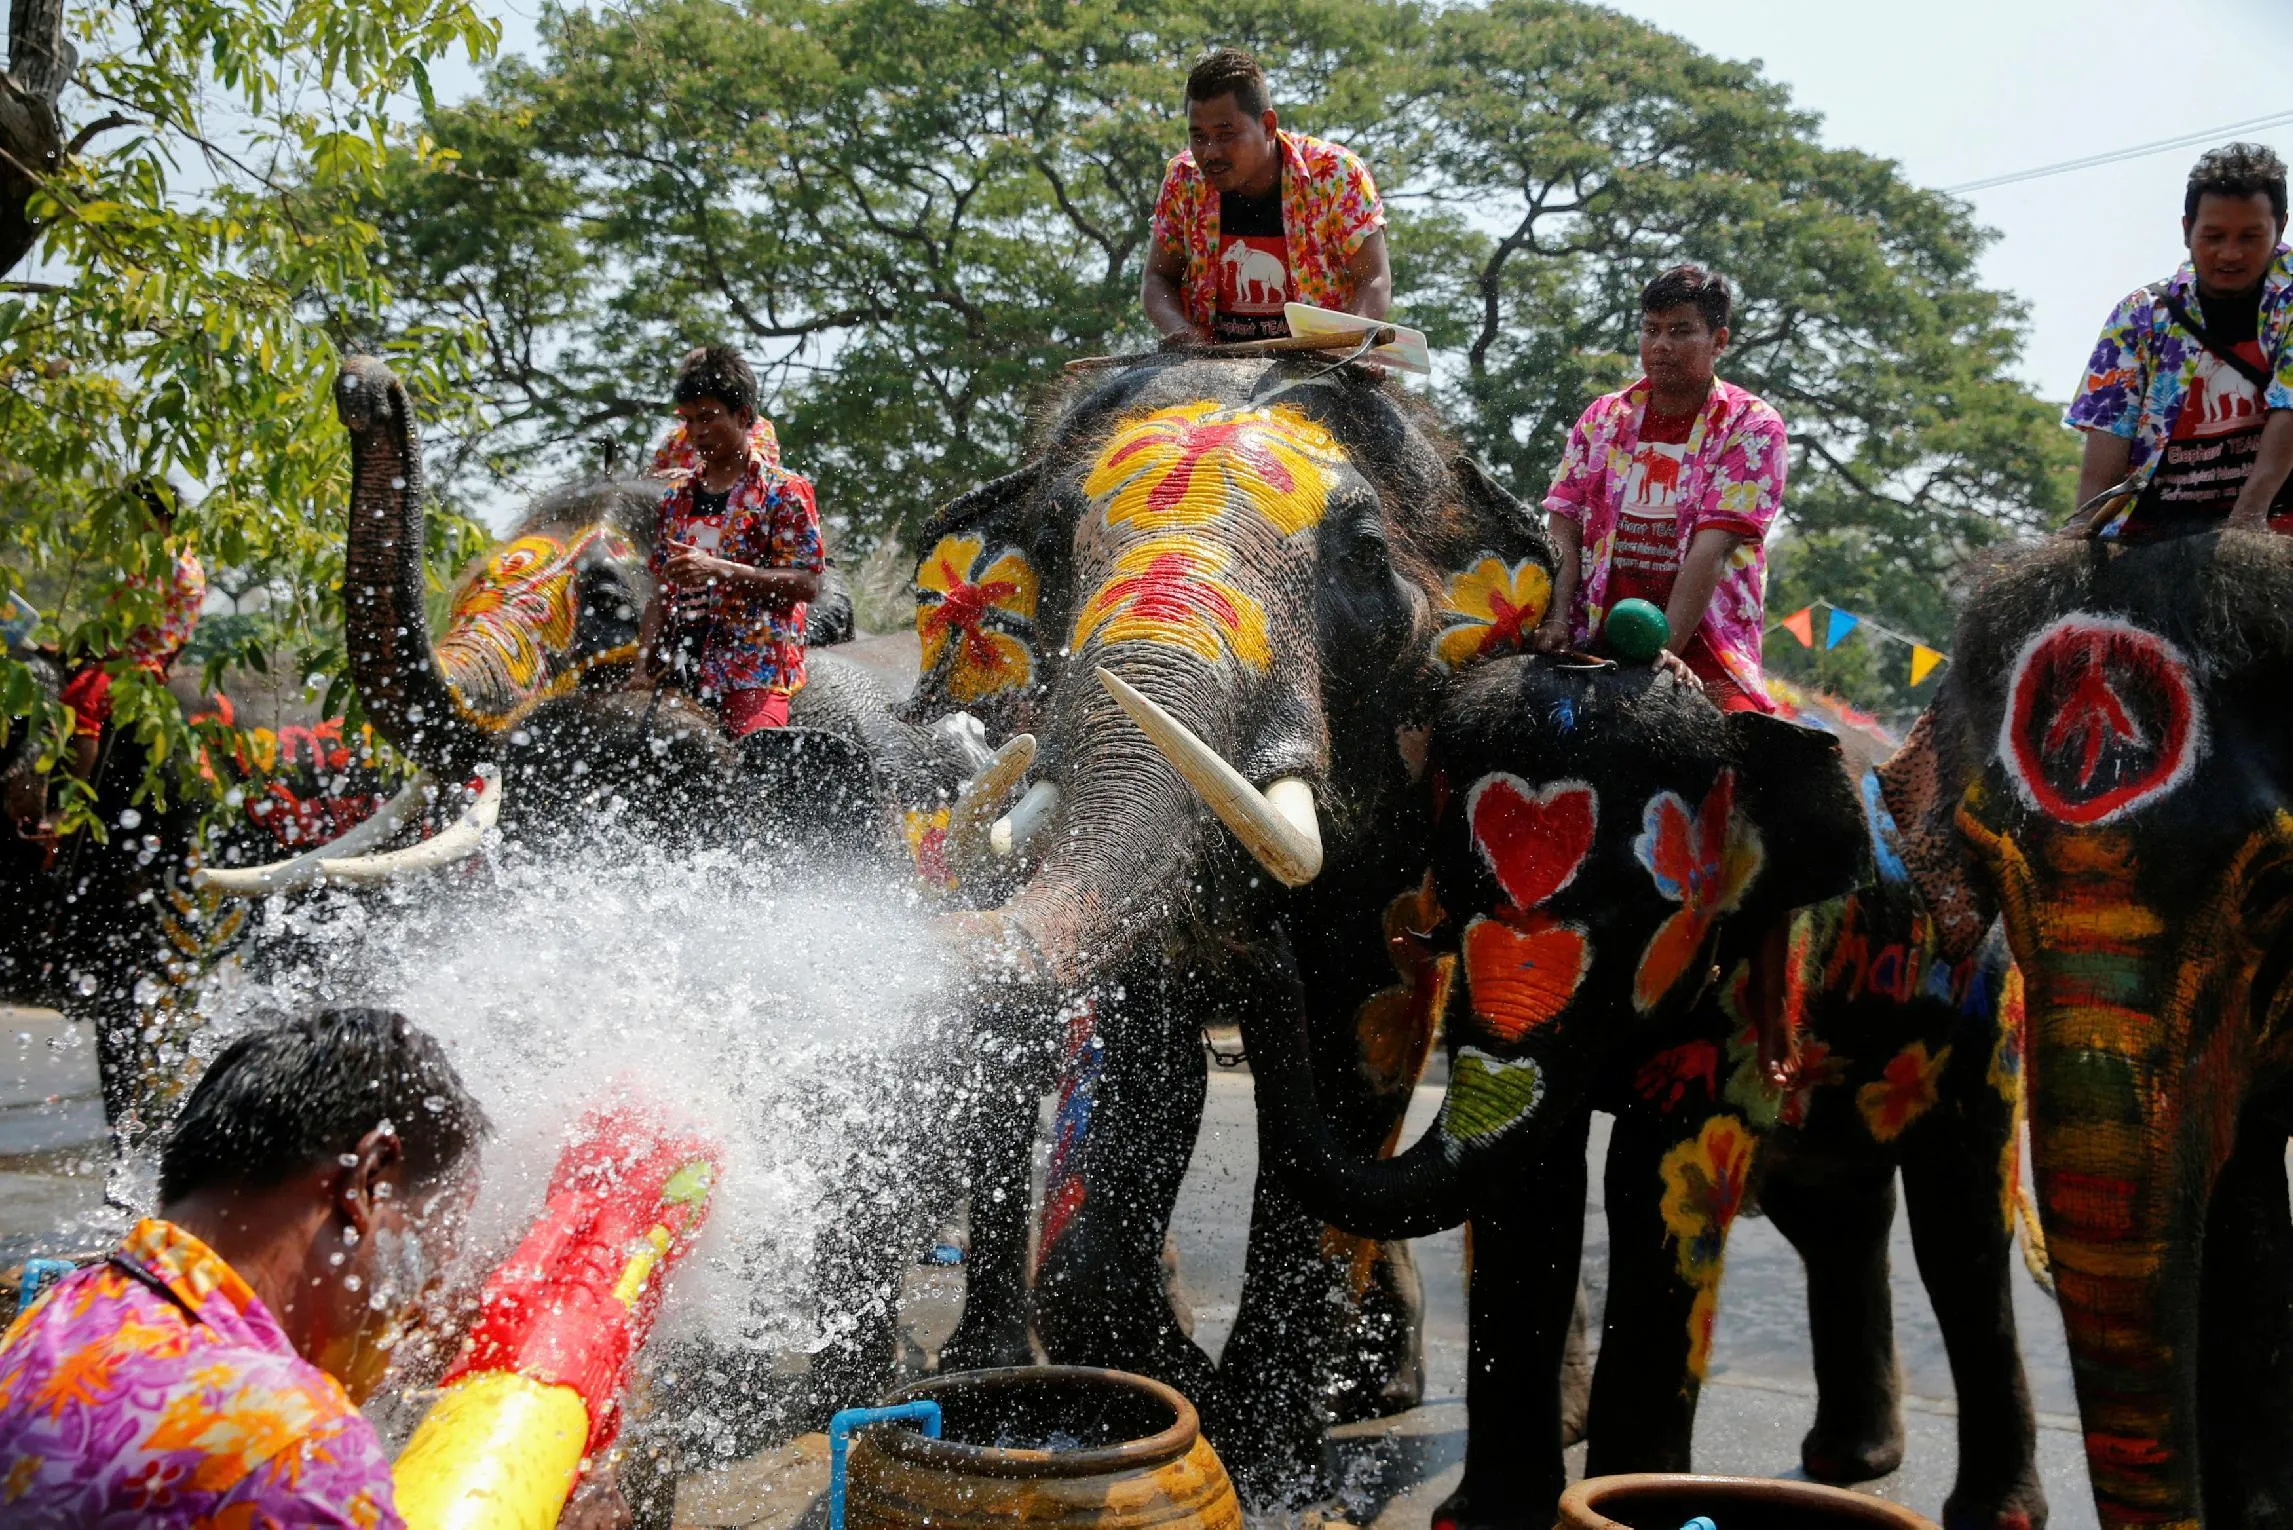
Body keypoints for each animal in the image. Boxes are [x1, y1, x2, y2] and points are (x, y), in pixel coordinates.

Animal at [894, 353, 1577, 1504]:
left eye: (1363, 553)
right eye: (1056, 542)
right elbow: (1144, 1051)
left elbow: (1362, 1034)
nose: (1252, 944)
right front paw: (1178, 1389)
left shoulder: (1406, 813)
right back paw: (1370, 1387)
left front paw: (1268, 1467)